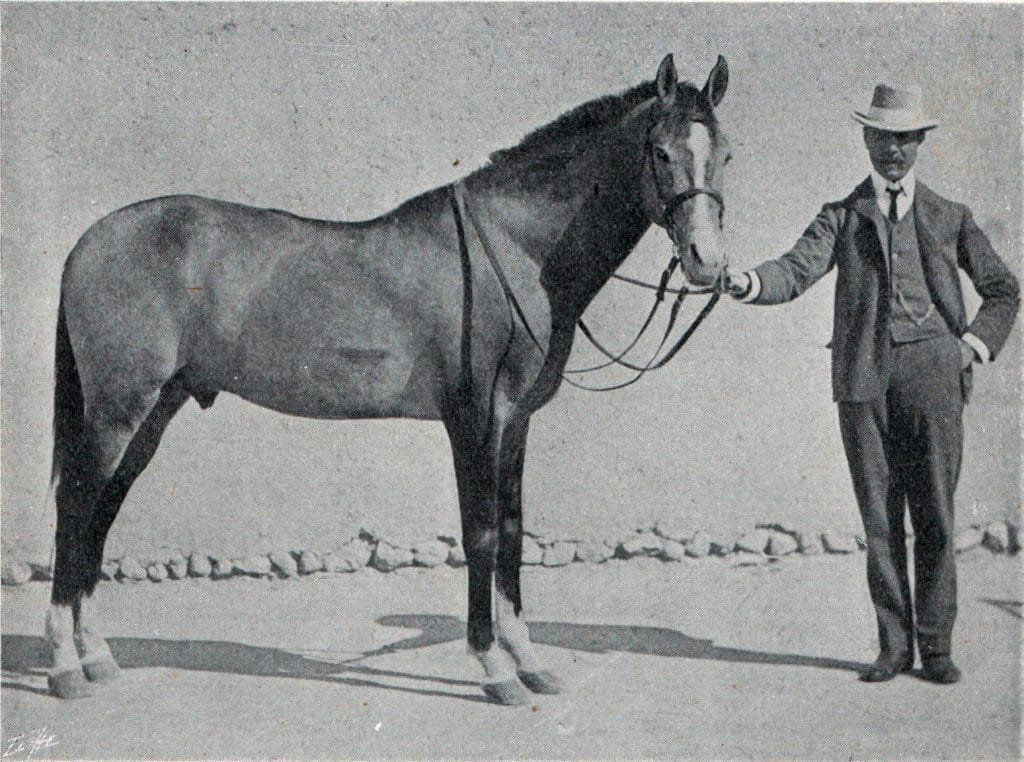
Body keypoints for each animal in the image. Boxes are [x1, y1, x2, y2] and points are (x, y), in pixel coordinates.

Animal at [45, 54, 731, 704]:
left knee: (101, 509)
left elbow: (512, 531)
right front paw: (493, 668)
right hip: (118, 411)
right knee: (76, 504)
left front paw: (530, 662)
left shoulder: (515, 422)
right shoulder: (474, 420)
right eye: (660, 151)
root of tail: (86, 242)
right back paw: (64, 666)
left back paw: (97, 655)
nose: (708, 262)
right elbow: (481, 533)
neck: (513, 251)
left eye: (724, 154)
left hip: (155, 410)